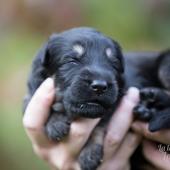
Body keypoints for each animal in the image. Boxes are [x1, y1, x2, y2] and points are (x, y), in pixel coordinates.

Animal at [23, 27, 124, 169]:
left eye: (113, 64)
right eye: (72, 61)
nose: (99, 86)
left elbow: (100, 124)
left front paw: (90, 154)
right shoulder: (30, 96)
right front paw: (56, 123)